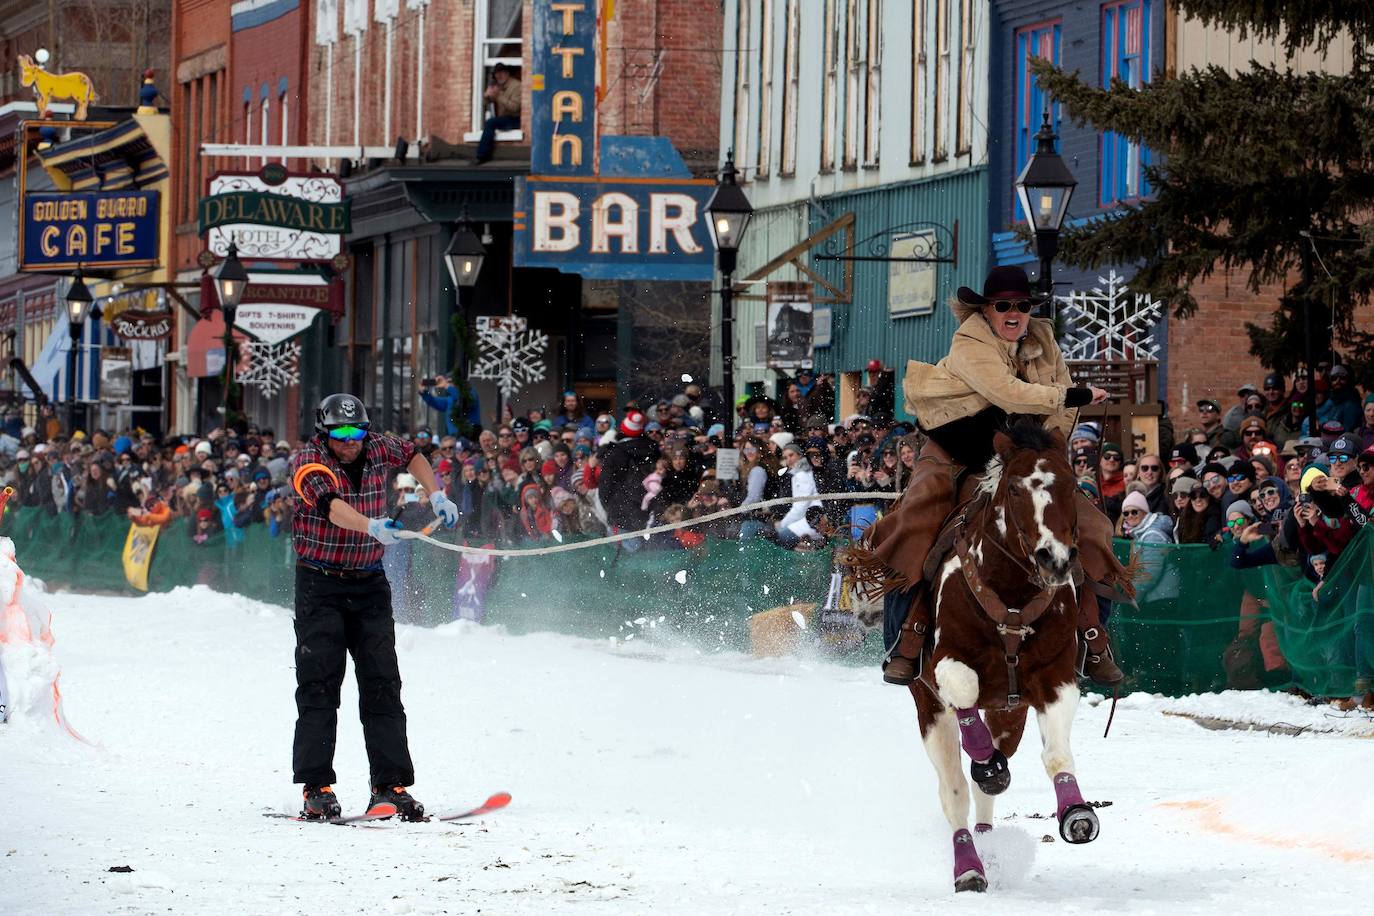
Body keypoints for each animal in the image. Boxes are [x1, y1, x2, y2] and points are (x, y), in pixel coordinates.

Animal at [906, 420, 1099, 889]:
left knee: (982, 786)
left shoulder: (1055, 678)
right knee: (956, 790)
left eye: (1071, 484)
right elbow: (963, 688)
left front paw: (1076, 811)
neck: (1011, 594)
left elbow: (1057, 755)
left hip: (1010, 715)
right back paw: (969, 866)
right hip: (928, 710)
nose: (1054, 558)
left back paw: (988, 841)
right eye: (1014, 488)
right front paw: (986, 763)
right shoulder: (946, 664)